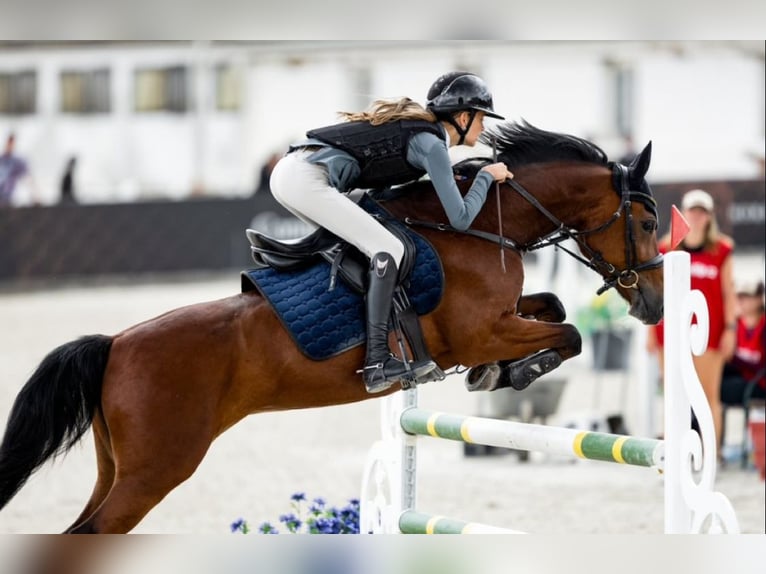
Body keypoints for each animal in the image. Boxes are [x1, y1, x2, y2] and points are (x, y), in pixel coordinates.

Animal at [0, 121, 663, 533]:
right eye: (650, 223)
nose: (654, 306)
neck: (478, 226)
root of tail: (114, 345)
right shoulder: (484, 329)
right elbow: (568, 334)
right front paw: (514, 371)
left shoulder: (503, 317)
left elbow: (552, 305)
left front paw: (495, 374)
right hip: (156, 469)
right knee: (94, 533)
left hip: (116, 467)